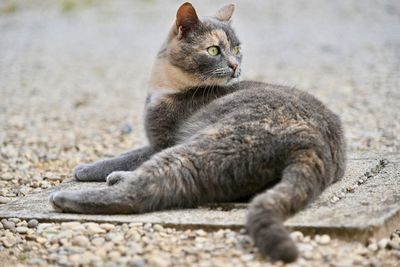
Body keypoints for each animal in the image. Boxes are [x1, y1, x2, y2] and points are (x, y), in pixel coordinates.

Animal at [50, 2, 346, 264]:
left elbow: (126, 155)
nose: (235, 65)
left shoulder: (160, 141)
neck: (168, 85)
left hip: (202, 146)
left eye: (236, 48)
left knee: (146, 189)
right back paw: (116, 179)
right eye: (214, 50)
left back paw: (69, 197)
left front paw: (85, 168)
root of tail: (313, 143)